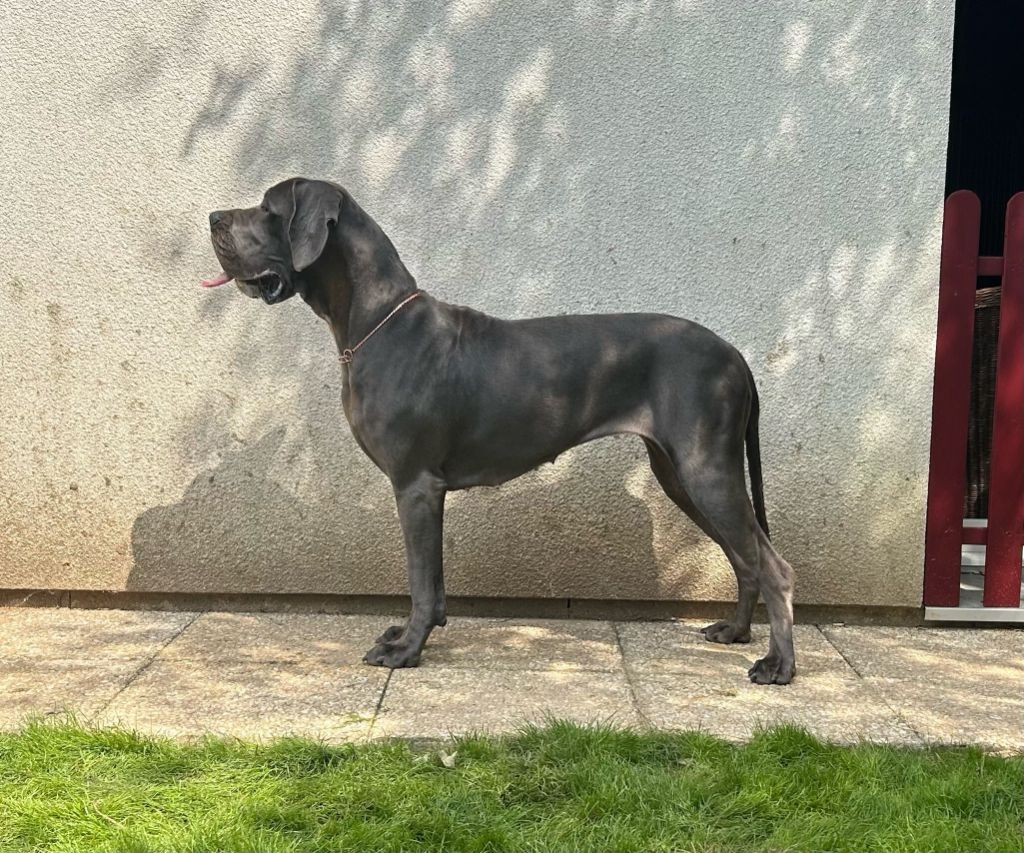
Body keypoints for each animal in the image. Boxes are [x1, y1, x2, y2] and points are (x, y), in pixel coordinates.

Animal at [205, 176, 798, 684]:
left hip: (705, 469)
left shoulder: (415, 485)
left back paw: (779, 666)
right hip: (679, 474)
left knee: (772, 565)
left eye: (269, 208)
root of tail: (735, 353)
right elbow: (434, 582)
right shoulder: (429, 492)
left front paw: (406, 650)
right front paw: (409, 635)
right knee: (744, 556)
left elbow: (420, 580)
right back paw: (736, 632)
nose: (211, 217)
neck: (376, 322)